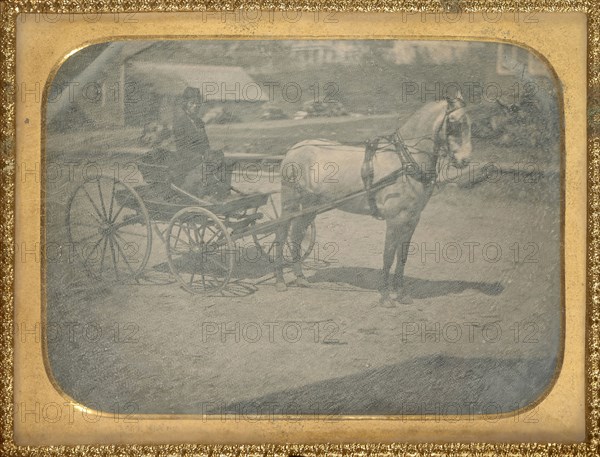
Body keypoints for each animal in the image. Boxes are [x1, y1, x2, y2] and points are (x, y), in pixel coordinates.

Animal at [274, 96, 474, 304]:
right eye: (454, 123)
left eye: (470, 123)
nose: (465, 160)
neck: (404, 161)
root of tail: (294, 148)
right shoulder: (394, 219)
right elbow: (388, 256)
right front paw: (385, 296)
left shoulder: (412, 219)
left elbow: (402, 256)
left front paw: (401, 294)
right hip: (290, 202)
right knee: (281, 234)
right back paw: (280, 281)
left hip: (311, 206)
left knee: (296, 234)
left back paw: (300, 277)